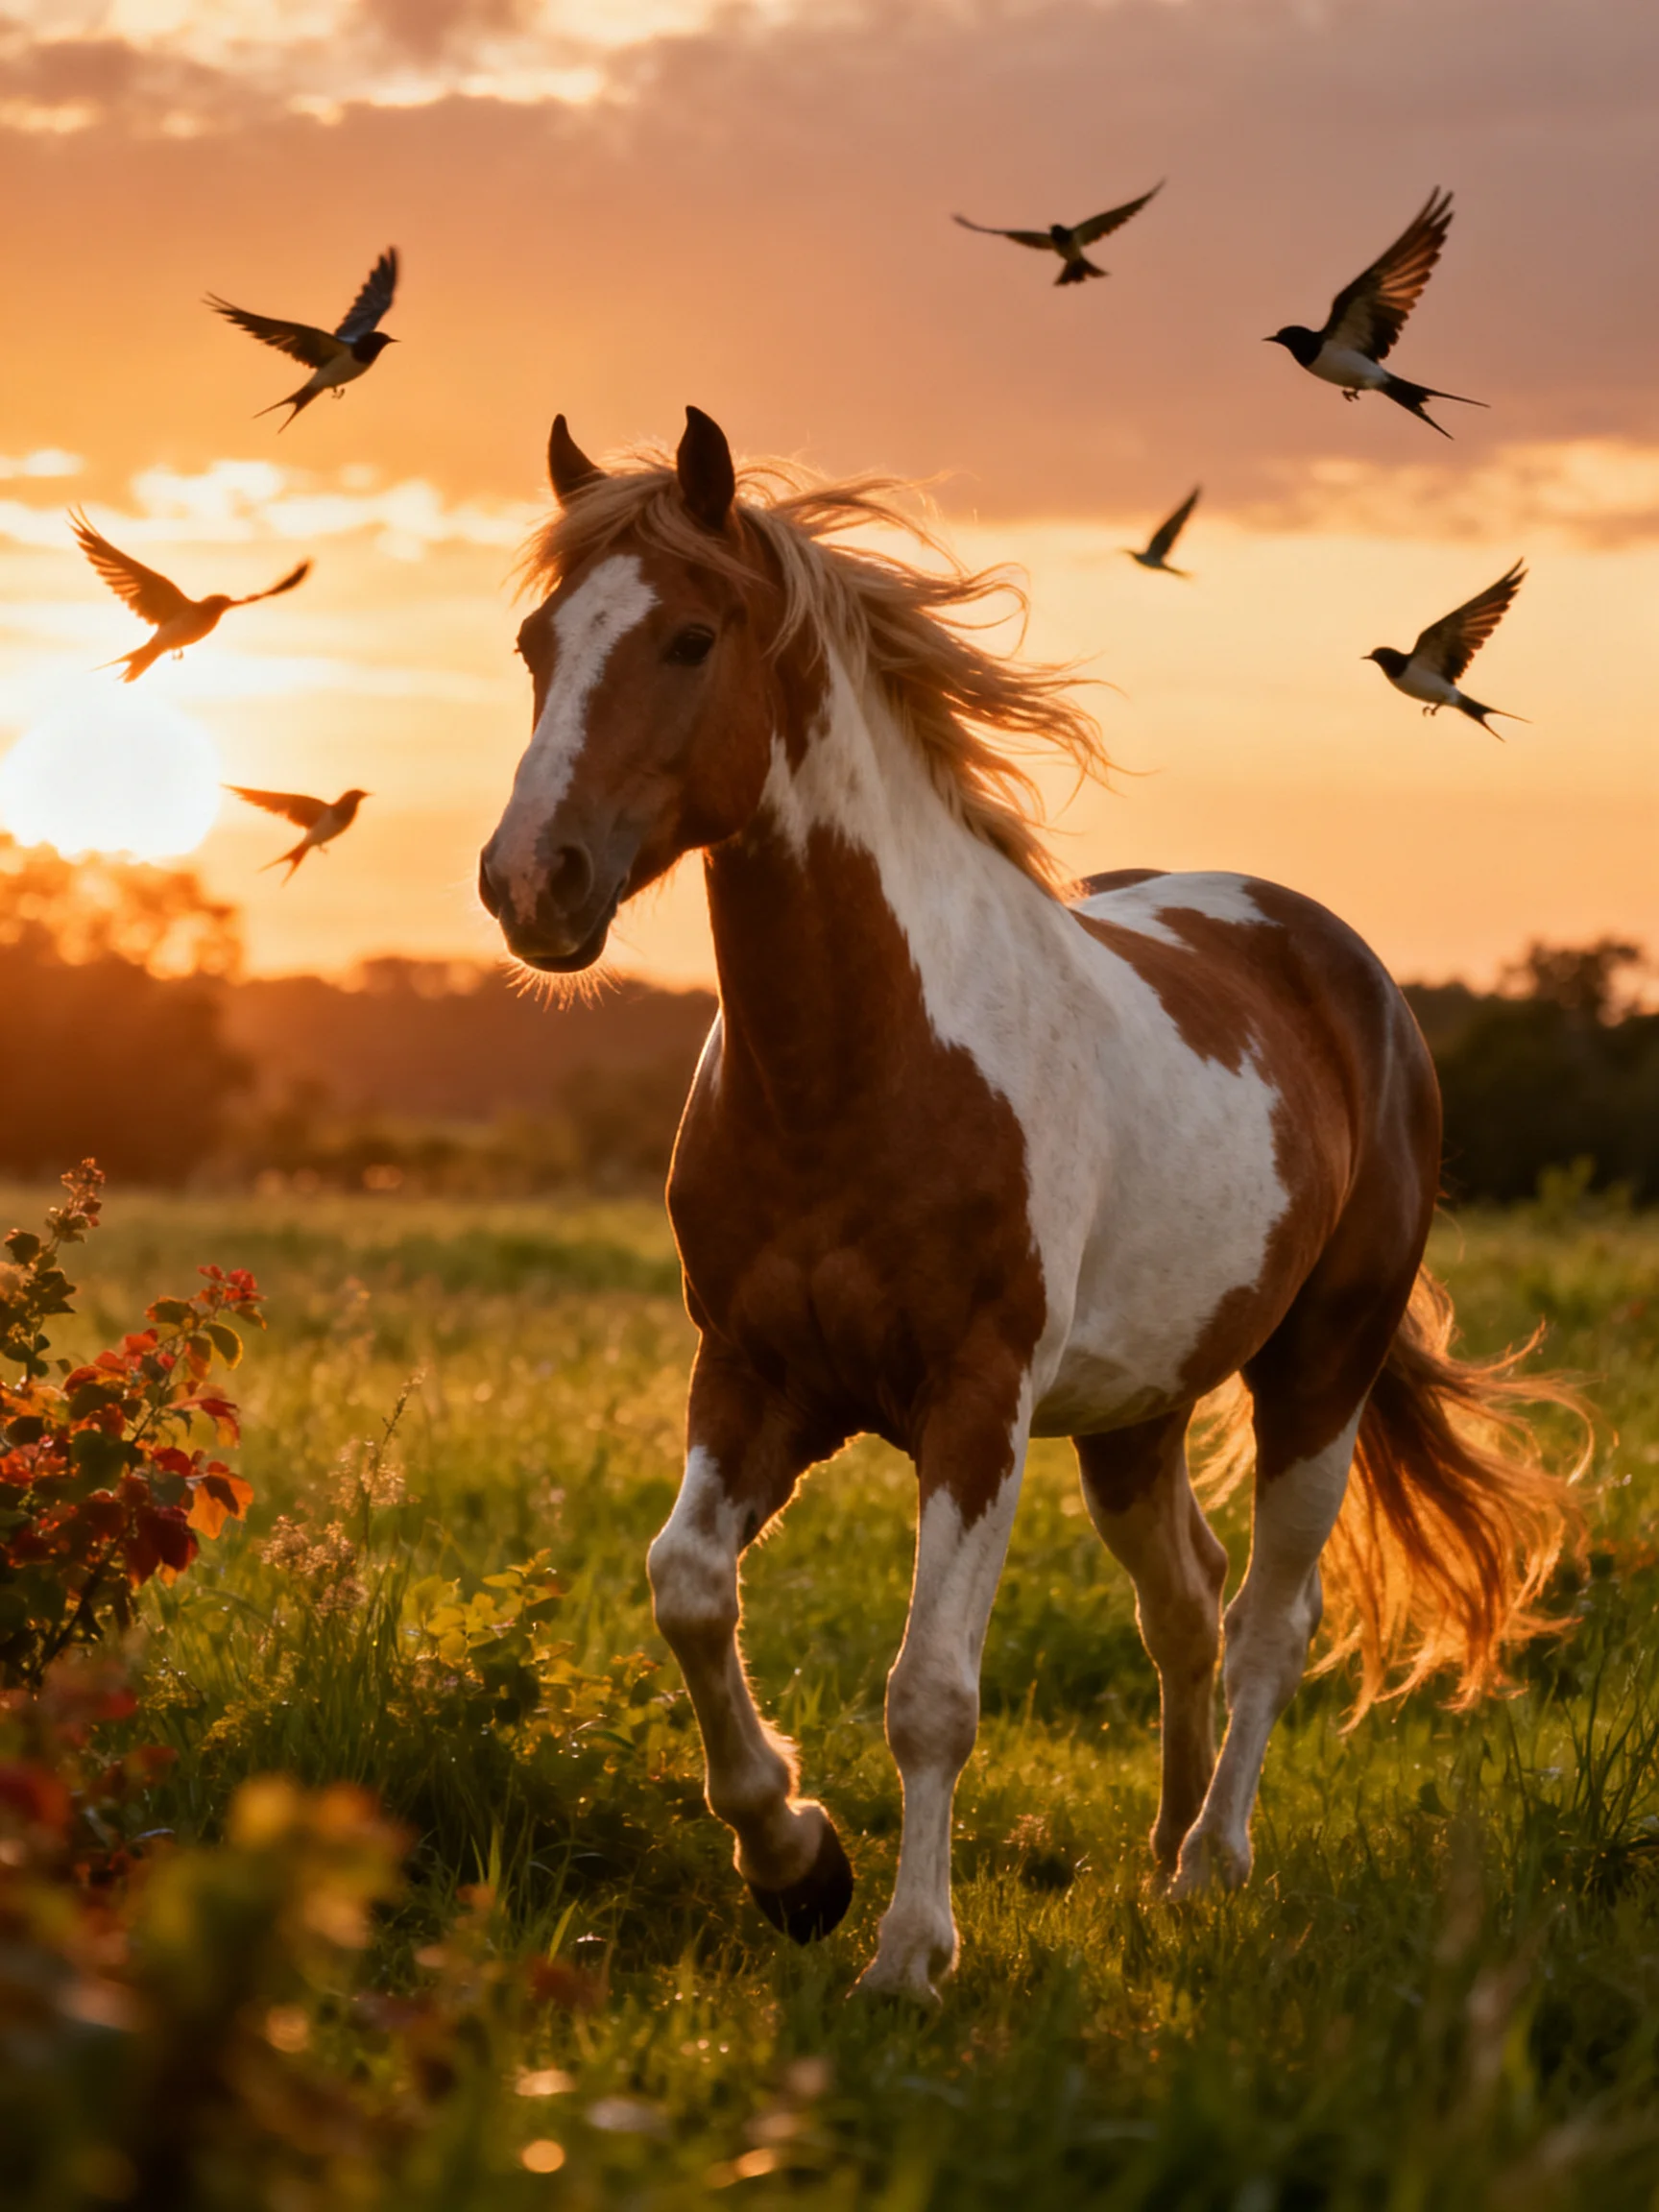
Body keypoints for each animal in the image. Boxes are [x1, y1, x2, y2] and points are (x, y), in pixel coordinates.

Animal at [479, 405, 1581, 2002]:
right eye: (534, 643)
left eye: (689, 638)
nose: (530, 884)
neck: (860, 1065)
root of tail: (1339, 959)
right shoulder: (754, 1377)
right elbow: (685, 1584)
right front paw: (795, 1862)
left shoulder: (976, 1400)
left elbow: (931, 1691)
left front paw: (905, 1955)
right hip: (1137, 1414)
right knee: (1183, 1603)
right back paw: (1161, 1851)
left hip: (1320, 1370)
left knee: (1270, 1620)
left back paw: (1212, 1864)